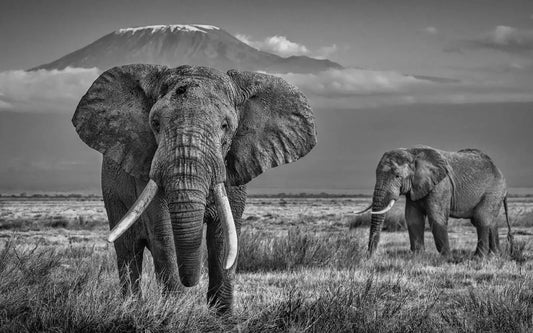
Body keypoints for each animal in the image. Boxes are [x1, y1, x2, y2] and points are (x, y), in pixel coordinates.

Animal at [73, 63, 318, 312]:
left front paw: (222, 316)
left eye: (225, 126)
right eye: (156, 124)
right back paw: (132, 306)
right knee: (128, 250)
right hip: (112, 194)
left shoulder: (234, 169)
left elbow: (224, 236)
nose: (191, 282)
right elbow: (165, 234)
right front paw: (176, 311)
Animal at [354, 145, 512, 256]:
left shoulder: (441, 185)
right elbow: (413, 218)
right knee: (490, 221)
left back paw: (479, 257)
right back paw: (495, 255)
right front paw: (417, 257)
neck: (412, 152)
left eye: (397, 176)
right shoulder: (415, 187)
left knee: (481, 219)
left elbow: (436, 217)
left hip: (493, 191)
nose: (370, 256)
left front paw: (446, 258)